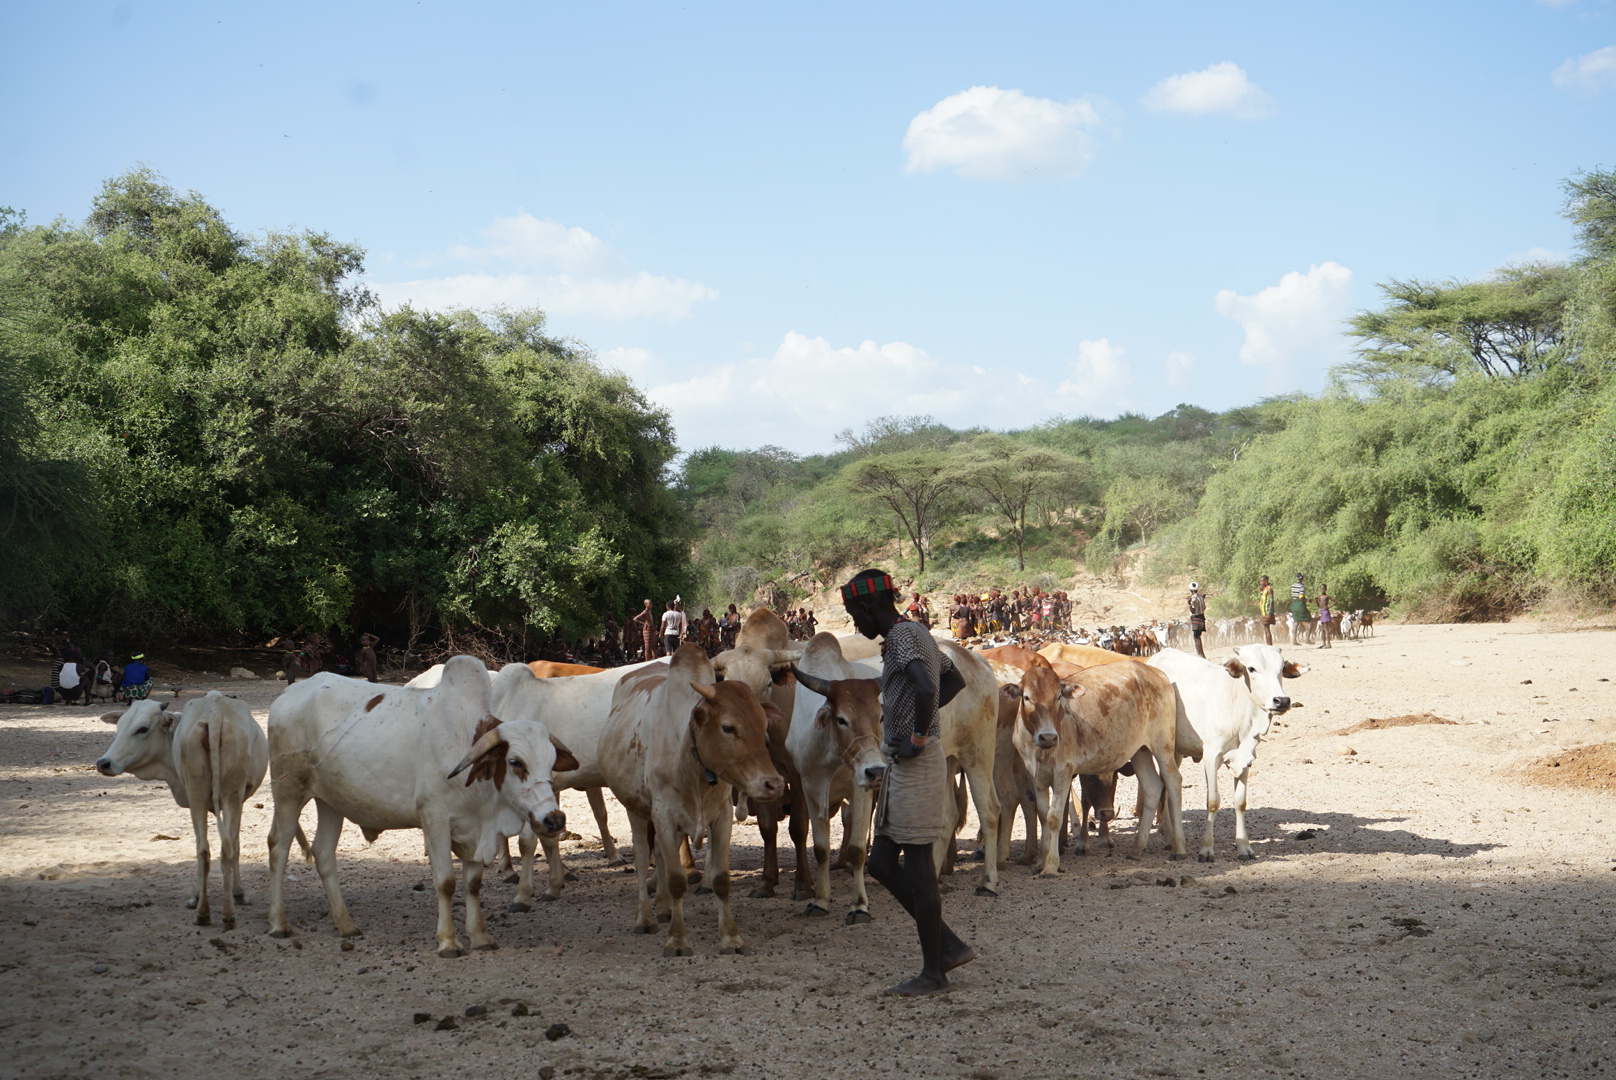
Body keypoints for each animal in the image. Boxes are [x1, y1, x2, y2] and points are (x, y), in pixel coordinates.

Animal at [94, 695, 290, 931]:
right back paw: (218, 914)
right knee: (216, 849)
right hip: (220, 795)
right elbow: (229, 846)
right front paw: (229, 894)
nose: (104, 763)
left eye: (142, 729)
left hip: (211, 795)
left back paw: (213, 911)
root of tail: (214, 710)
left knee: (212, 848)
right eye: (119, 726)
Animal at [271, 659, 581, 950]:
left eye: (551, 762)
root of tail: (289, 692)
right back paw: (278, 923)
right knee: (278, 847)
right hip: (288, 792)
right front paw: (449, 942)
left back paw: (345, 924)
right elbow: (446, 882)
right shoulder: (435, 820)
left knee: (323, 853)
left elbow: (473, 885)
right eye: (515, 762)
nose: (555, 819)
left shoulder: (474, 829)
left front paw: (479, 937)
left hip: (330, 802)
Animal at [604, 640, 785, 950]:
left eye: (763, 725)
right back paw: (646, 918)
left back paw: (664, 907)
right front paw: (677, 940)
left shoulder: (721, 816)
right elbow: (677, 879)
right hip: (636, 809)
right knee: (641, 857)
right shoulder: (663, 814)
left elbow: (720, 878)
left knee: (661, 855)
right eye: (728, 727)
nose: (773, 784)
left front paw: (730, 936)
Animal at [1144, 649, 1305, 860]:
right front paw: (1206, 849)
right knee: (1169, 785)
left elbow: (1240, 802)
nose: (1282, 701)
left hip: (1176, 750)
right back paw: (1174, 842)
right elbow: (1212, 801)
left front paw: (1244, 847)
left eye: (1281, 667)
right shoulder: (1211, 757)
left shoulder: (1246, 758)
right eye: (1251, 668)